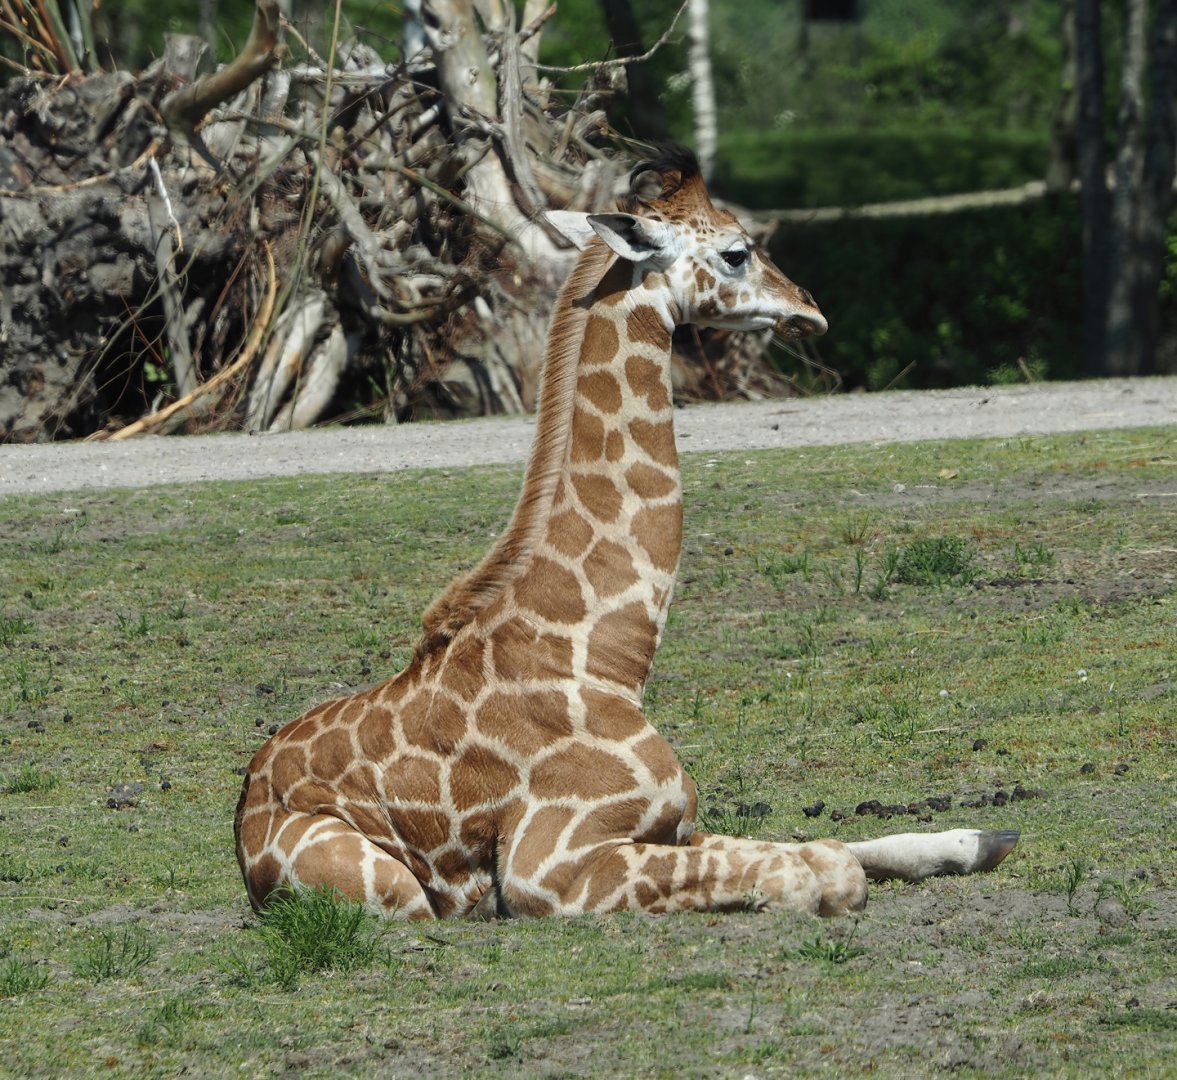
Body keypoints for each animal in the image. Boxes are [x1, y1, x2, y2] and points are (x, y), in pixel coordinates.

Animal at [235, 146, 1018, 921]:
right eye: (736, 251)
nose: (810, 309)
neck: (603, 658)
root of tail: (242, 814)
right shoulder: (546, 865)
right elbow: (819, 869)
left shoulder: (675, 824)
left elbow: (826, 847)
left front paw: (982, 837)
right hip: (389, 887)